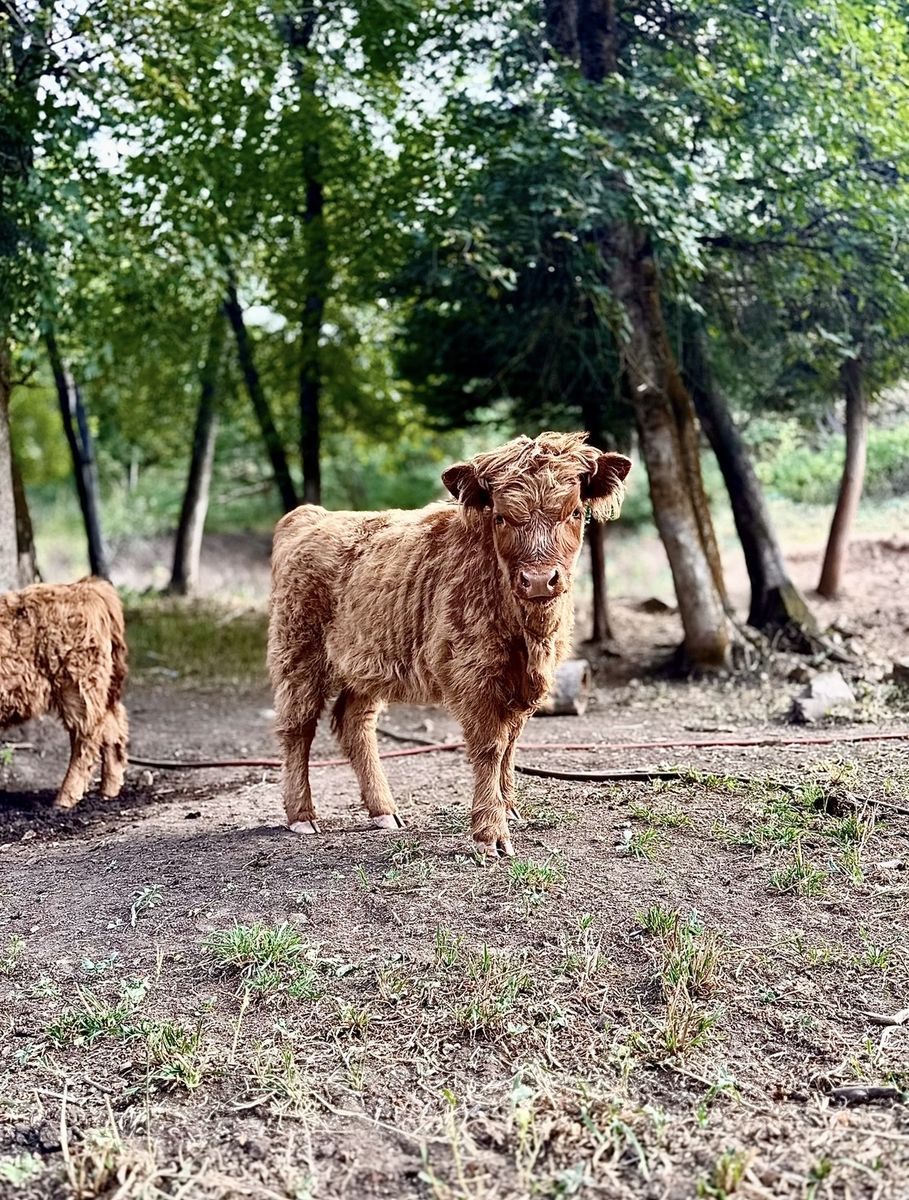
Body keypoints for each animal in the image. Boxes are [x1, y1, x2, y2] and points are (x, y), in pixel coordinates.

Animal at [0, 578, 129, 809]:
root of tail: (84, 586)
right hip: (98, 690)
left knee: (86, 739)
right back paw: (108, 791)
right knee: (113, 730)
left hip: (77, 687)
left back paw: (65, 799)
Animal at [268, 432, 631, 857]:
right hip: (298, 654)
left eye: (574, 512)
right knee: (297, 726)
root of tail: (311, 516)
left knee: (354, 724)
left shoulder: (523, 683)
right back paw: (302, 817)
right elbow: (490, 746)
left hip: (366, 662)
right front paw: (490, 834)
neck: (528, 634)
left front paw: (509, 809)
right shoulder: (474, 674)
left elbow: (511, 743)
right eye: (500, 516)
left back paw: (383, 812)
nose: (540, 580)